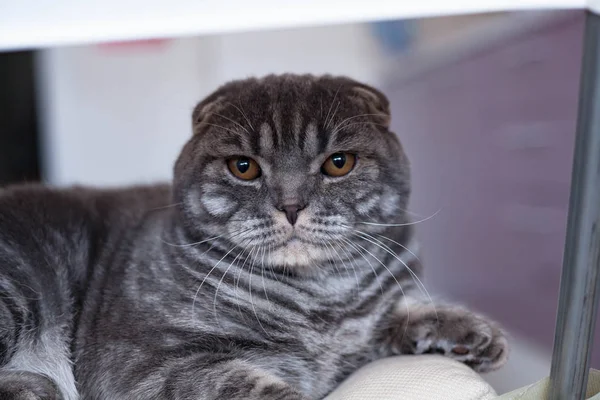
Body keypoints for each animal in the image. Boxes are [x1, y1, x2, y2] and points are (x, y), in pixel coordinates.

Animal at [0, 73, 506, 398]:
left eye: (338, 162)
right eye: (243, 167)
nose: (291, 206)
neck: (323, 297)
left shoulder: (361, 334)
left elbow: (400, 314)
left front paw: (469, 334)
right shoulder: (152, 365)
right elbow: (250, 388)